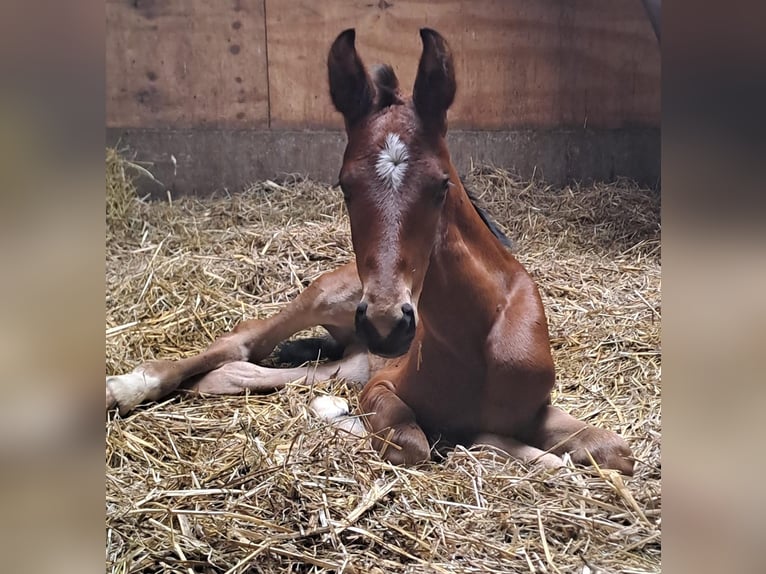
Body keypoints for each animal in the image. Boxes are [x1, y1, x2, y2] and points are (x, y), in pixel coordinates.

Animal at [108, 28, 636, 476]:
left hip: (353, 355)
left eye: (441, 185)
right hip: (325, 297)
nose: (386, 322)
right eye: (345, 186)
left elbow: (616, 450)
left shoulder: (535, 408)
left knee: (253, 371)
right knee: (242, 342)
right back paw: (127, 387)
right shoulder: (385, 387)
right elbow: (415, 442)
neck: (483, 338)